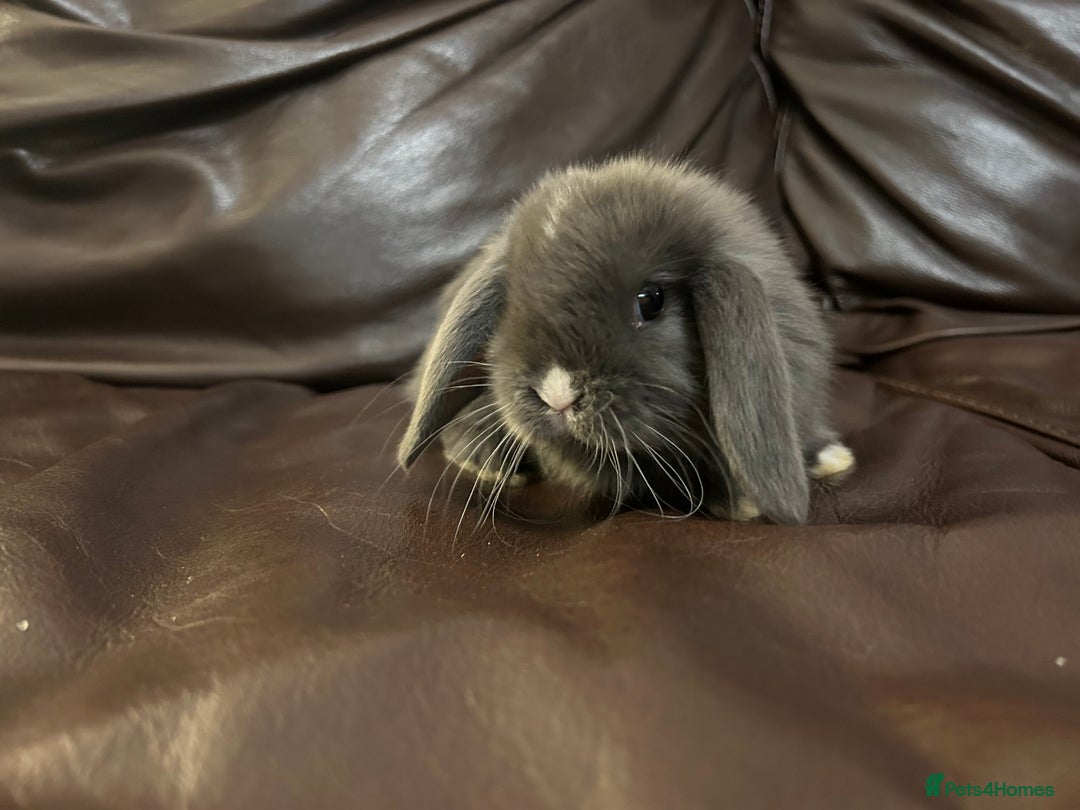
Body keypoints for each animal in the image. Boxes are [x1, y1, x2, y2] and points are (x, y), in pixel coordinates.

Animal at [396, 155, 853, 525]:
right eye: (512, 303)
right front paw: (741, 504)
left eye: (651, 300)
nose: (556, 393)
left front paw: (831, 458)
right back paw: (488, 464)